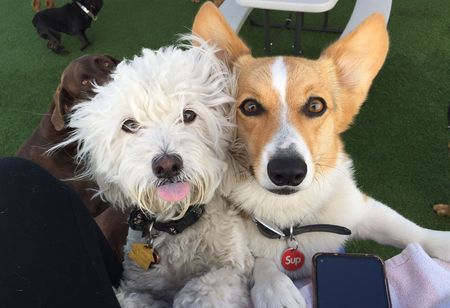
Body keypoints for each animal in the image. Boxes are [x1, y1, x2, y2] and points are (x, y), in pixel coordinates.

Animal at [56, 39, 253, 306]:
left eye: (188, 114)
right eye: (129, 125)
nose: (167, 165)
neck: (177, 225)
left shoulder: (235, 265)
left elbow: (211, 284)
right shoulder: (139, 283)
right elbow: (130, 298)